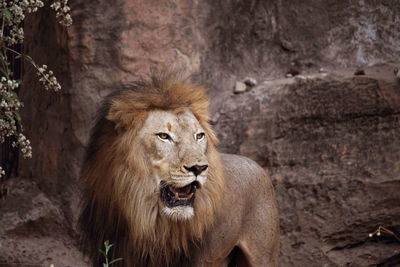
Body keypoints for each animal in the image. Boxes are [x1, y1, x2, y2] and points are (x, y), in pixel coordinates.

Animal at [77, 76, 278, 267]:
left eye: (199, 136)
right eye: (164, 136)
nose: (199, 168)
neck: (145, 219)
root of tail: (256, 164)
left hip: (261, 256)